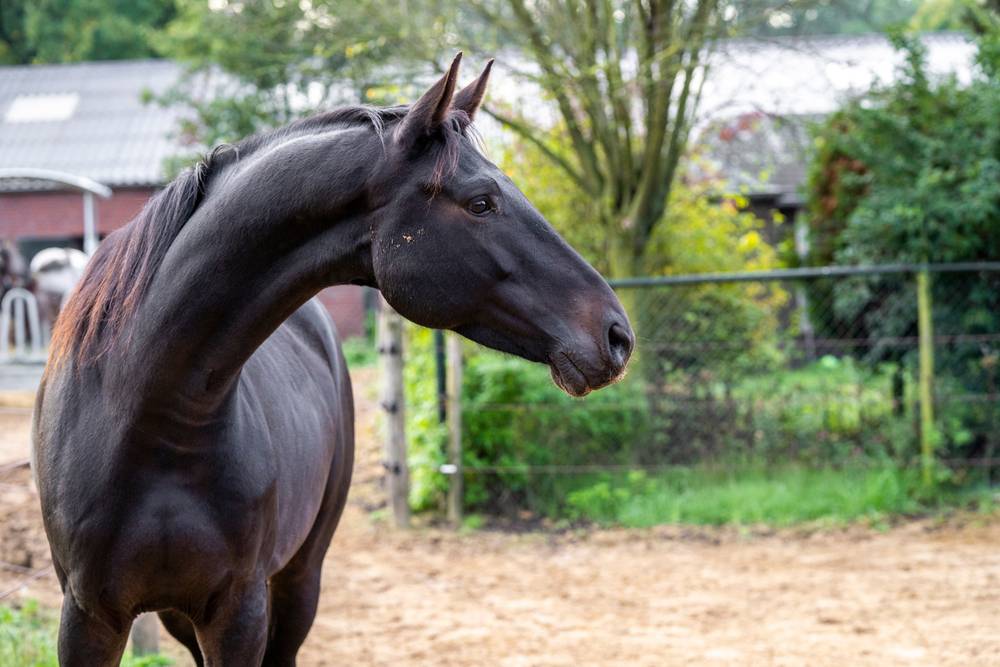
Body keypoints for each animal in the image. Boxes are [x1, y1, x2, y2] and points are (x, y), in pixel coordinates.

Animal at [37, 54, 632, 664]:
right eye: (481, 202)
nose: (615, 334)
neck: (152, 422)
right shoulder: (88, 618)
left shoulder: (238, 612)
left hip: (300, 578)